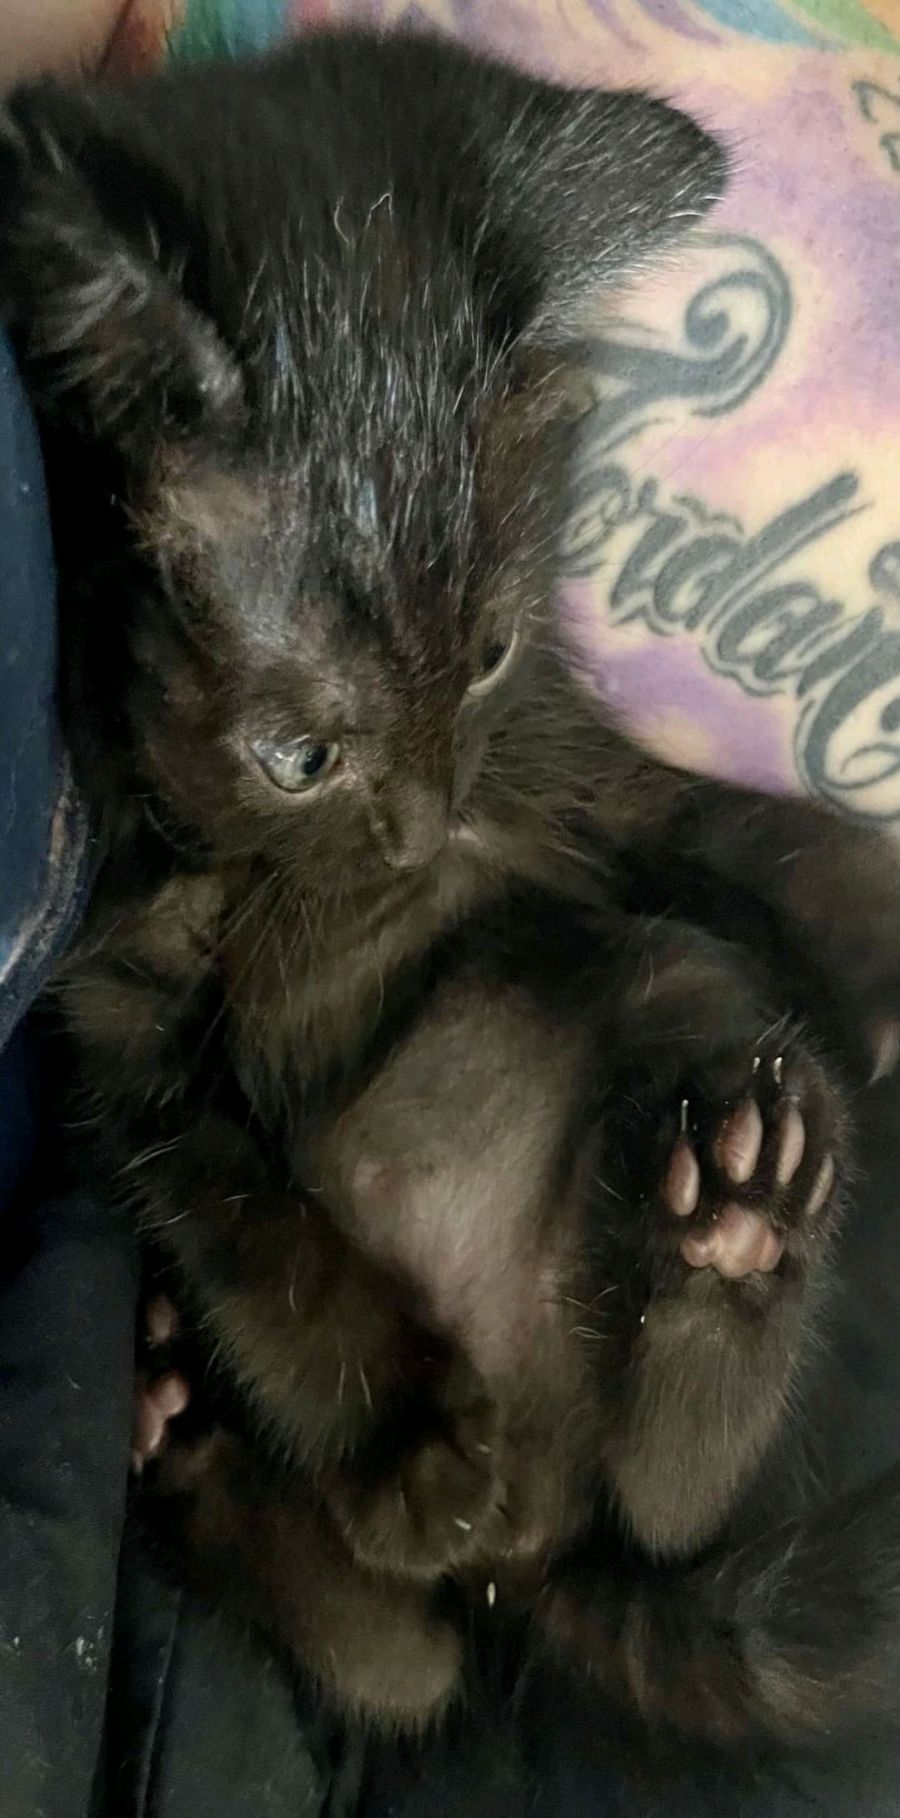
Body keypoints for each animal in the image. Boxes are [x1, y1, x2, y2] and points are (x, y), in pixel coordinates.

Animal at [4, 29, 900, 1747]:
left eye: (483, 651)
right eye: (299, 753)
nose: (423, 837)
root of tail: (533, 1555)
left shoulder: (552, 762)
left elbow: (715, 821)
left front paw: (878, 930)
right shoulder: (123, 1019)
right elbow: (251, 1219)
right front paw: (413, 1430)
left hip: (673, 989)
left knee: (667, 1496)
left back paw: (742, 1222)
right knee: (397, 1654)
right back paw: (181, 1431)